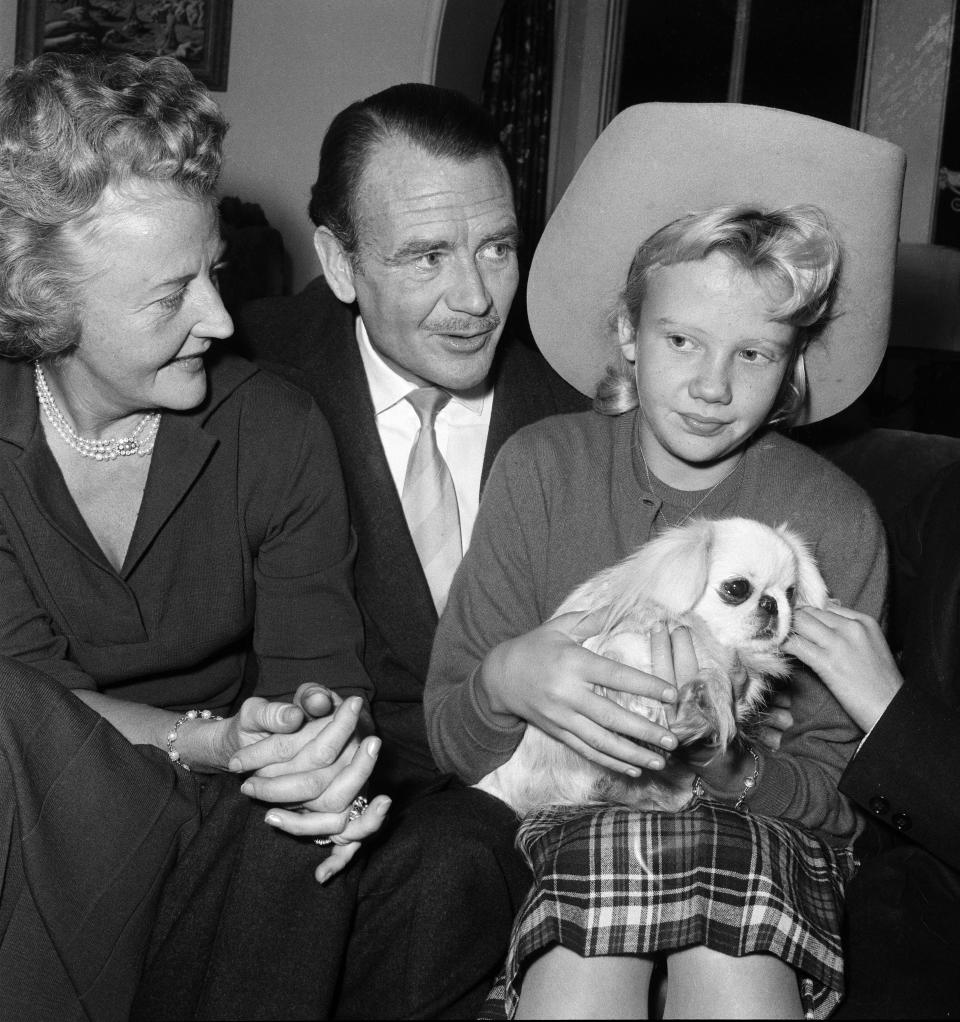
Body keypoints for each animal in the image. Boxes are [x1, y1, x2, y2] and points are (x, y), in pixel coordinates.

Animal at [476, 515, 830, 817]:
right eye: (737, 588)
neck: (708, 637)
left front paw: (700, 704)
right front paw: (655, 705)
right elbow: (626, 659)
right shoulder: (620, 643)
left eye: (790, 593)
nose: (772, 604)